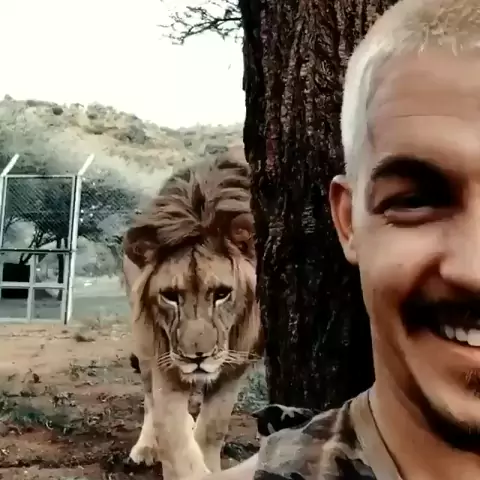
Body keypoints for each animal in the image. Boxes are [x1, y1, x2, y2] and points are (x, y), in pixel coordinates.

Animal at [122, 146, 264, 480]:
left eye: (222, 293)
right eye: (170, 296)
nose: (196, 358)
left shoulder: (236, 362)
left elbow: (212, 429)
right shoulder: (165, 360)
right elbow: (173, 436)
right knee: (149, 400)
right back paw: (145, 448)